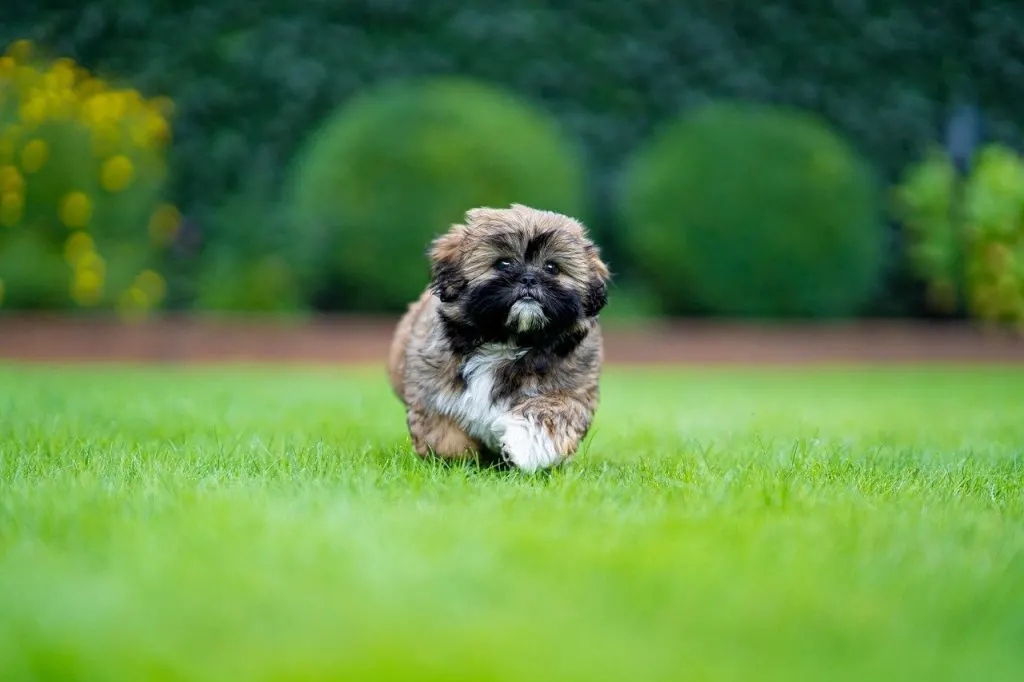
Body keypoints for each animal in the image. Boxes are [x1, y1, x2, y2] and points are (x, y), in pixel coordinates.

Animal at [385, 199, 606, 471]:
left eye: (552, 268)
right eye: (503, 264)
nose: (529, 278)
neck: (507, 340)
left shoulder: (571, 392)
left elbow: (550, 413)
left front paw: (523, 445)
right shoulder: (430, 391)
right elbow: (443, 433)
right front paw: (456, 461)